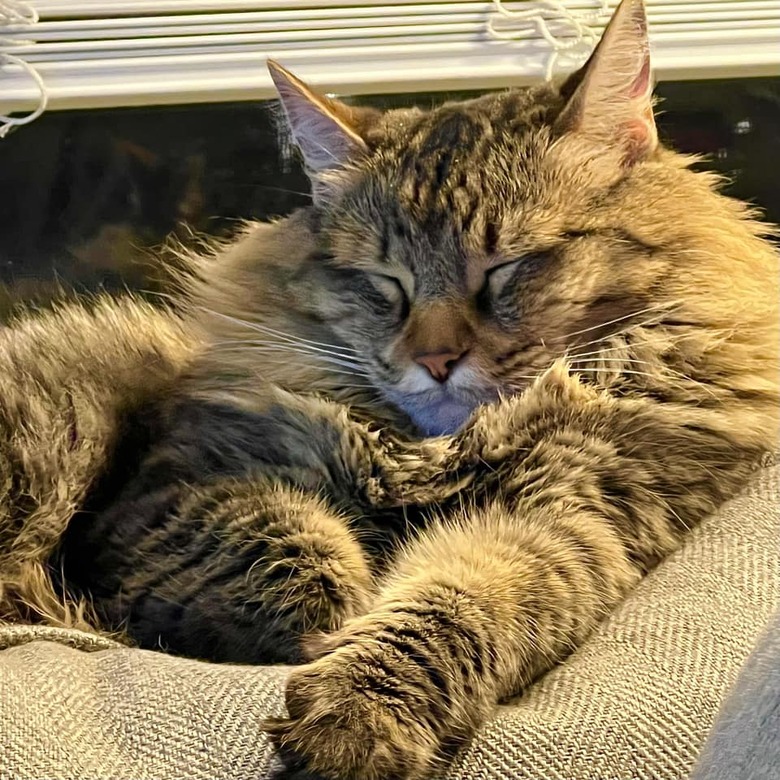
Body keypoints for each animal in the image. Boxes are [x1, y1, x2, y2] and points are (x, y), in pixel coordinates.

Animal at [0, 1, 776, 780]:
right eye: (386, 283)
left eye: (509, 267)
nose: (435, 359)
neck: (435, 451)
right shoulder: (180, 489)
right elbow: (296, 558)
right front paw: (330, 629)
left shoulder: (575, 514)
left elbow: (455, 608)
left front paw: (354, 716)